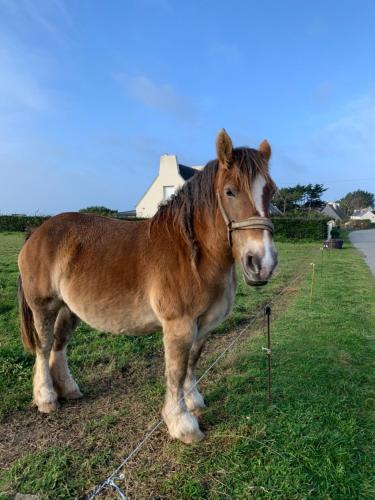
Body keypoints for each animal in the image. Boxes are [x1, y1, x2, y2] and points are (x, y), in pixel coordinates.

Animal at [17, 131, 278, 444]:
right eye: (230, 191)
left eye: (271, 191)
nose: (262, 263)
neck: (194, 256)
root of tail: (36, 232)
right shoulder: (179, 326)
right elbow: (176, 371)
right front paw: (183, 424)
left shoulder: (204, 325)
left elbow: (192, 362)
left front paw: (194, 401)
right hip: (43, 306)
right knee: (44, 348)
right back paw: (46, 398)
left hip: (68, 309)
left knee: (60, 344)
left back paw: (68, 390)